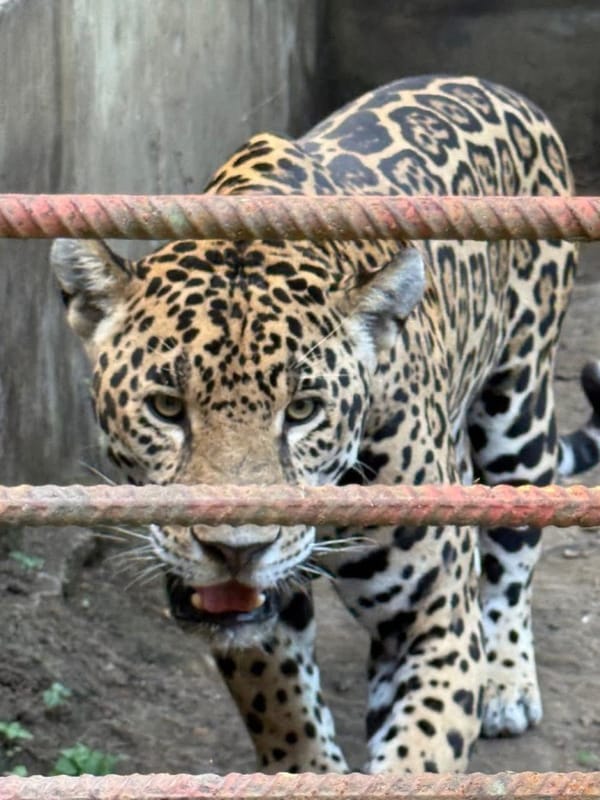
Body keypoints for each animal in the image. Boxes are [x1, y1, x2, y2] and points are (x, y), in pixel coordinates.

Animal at [51, 75, 600, 774]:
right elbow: (289, 722)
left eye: (303, 410)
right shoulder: (263, 626)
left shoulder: (434, 618)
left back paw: (508, 684)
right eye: (166, 407)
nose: (237, 551)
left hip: (519, 412)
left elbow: (421, 756)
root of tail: (497, 86)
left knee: (513, 555)